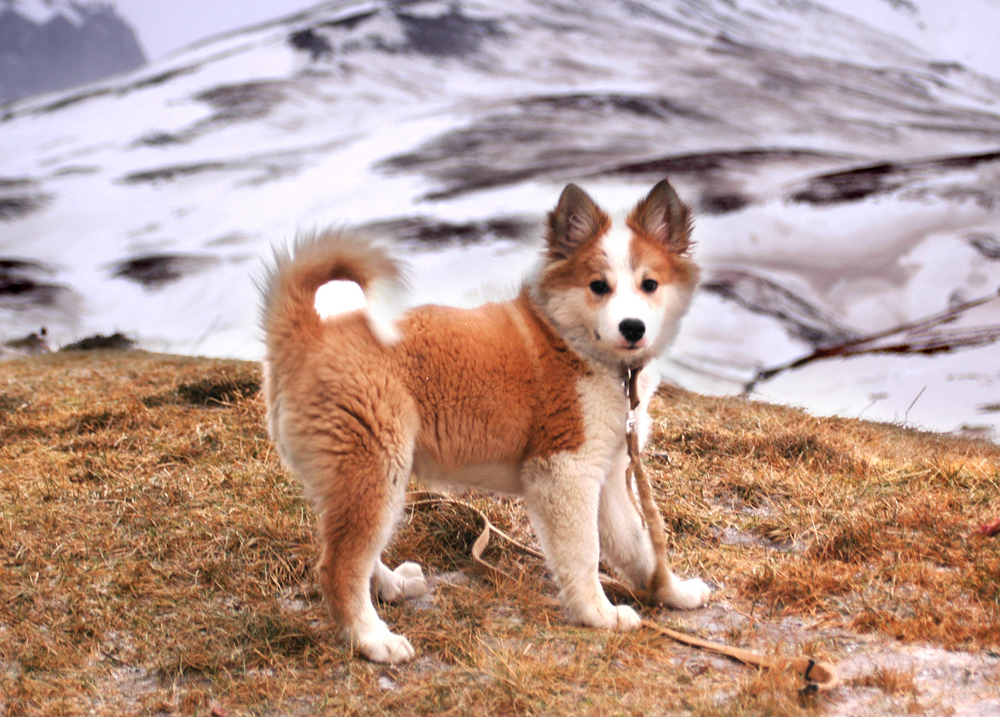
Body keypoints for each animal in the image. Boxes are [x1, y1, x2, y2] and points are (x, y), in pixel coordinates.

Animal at [258, 178, 712, 660]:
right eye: (598, 286)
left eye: (650, 284)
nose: (632, 327)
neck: (574, 345)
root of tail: (307, 333)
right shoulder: (564, 472)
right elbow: (584, 552)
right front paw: (598, 614)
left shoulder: (606, 476)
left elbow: (639, 546)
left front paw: (671, 592)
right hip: (373, 467)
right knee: (338, 567)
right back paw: (372, 640)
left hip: (360, 477)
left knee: (351, 550)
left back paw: (391, 586)